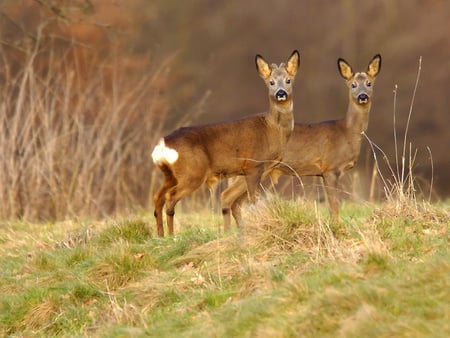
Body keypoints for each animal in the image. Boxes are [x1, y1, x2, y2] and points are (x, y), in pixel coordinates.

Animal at [152, 50, 302, 236]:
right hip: (192, 172)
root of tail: (163, 145)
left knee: (158, 197)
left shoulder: (258, 169)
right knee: (170, 198)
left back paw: (160, 236)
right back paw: (172, 236)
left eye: (288, 80)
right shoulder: (253, 166)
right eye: (271, 82)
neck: (272, 130)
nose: (281, 93)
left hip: (171, 175)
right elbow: (253, 200)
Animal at [223, 54, 382, 226]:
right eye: (353, 85)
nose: (362, 96)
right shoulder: (330, 168)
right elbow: (334, 204)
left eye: (369, 83)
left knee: (236, 203)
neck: (346, 132)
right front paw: (337, 227)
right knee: (228, 196)